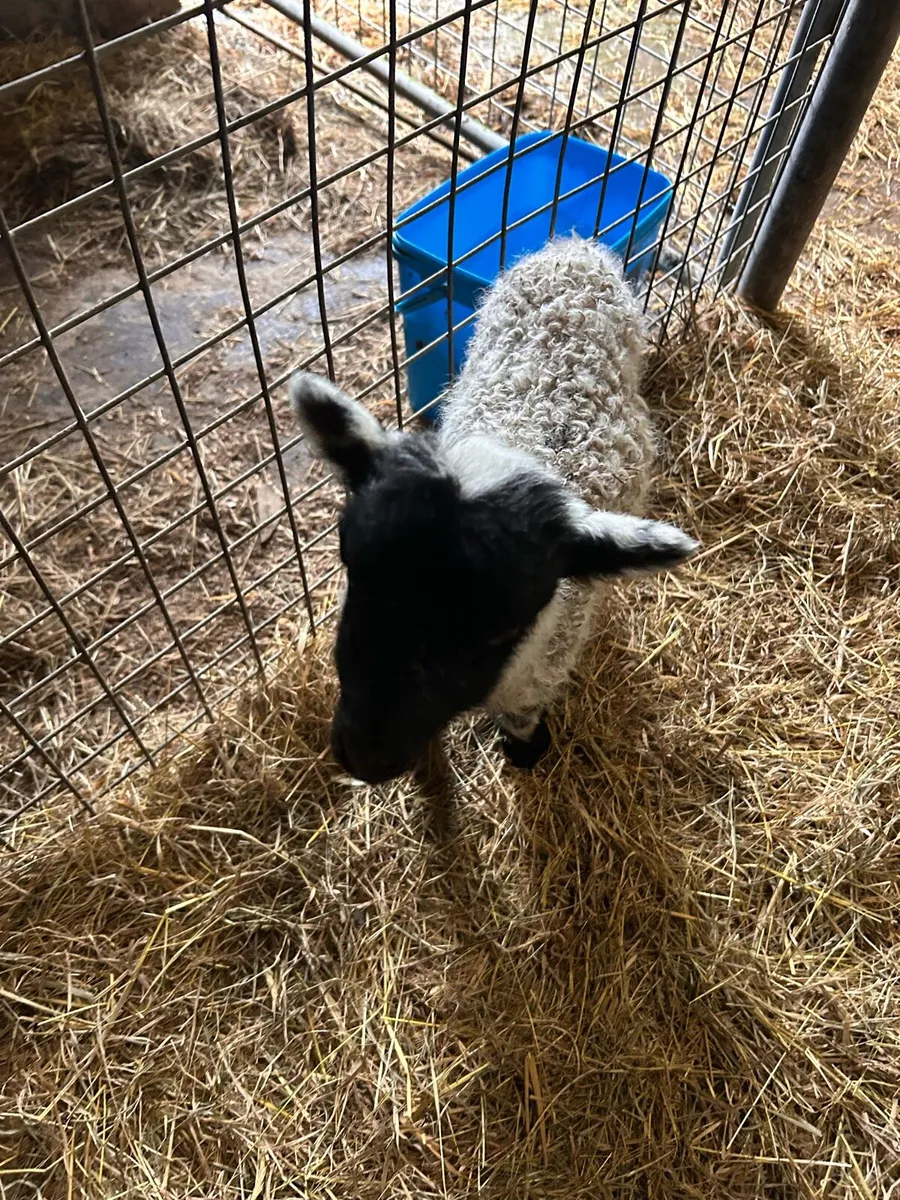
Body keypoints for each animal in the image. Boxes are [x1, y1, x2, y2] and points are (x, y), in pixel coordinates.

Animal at [289, 235, 697, 784]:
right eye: (352, 569)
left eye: (500, 630)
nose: (365, 757)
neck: (516, 441)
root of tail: (574, 247)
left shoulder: (542, 663)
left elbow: (524, 718)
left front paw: (526, 751)